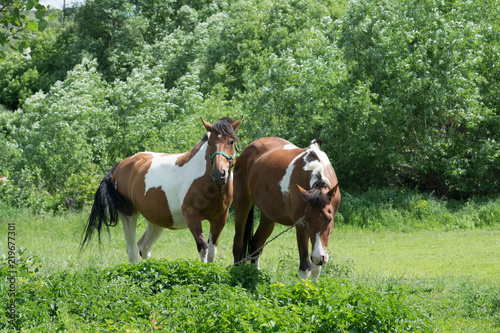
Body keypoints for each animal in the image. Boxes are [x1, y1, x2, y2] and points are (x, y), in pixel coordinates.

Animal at [81, 116, 243, 262]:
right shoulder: (192, 216)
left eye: (231, 141)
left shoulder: (220, 218)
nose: (219, 174)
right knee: (132, 250)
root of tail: (120, 166)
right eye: (210, 142)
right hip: (128, 214)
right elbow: (203, 248)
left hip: (156, 220)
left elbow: (211, 253)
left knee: (144, 247)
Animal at [232, 136, 342, 278]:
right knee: (238, 243)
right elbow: (305, 266)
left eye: (329, 219)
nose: (318, 257)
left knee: (256, 244)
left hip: (268, 216)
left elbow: (316, 268)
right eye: (307, 220)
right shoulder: (301, 226)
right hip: (242, 205)